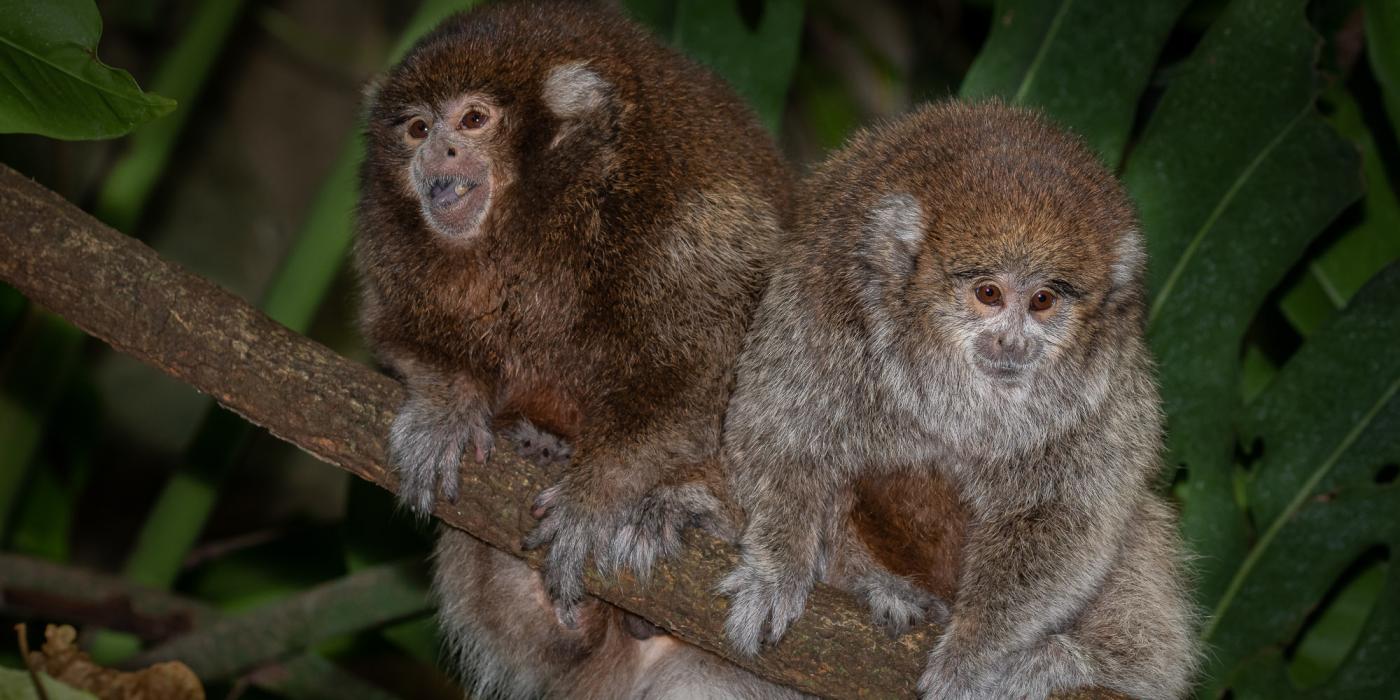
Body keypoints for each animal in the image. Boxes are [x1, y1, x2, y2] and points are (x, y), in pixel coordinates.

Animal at [352, 0, 789, 635]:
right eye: (417, 129)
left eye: (473, 119)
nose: (436, 155)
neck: (538, 213)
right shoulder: (385, 244)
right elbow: (396, 333)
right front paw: (446, 408)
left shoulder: (688, 218)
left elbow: (702, 378)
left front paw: (594, 499)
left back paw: (686, 510)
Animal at [716, 102, 1198, 700]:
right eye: (988, 293)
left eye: (1043, 301)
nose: (1012, 343)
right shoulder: (824, 302)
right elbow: (780, 432)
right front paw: (778, 568)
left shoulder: (1106, 386)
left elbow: (1068, 519)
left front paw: (975, 653)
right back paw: (880, 583)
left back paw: (1081, 661)